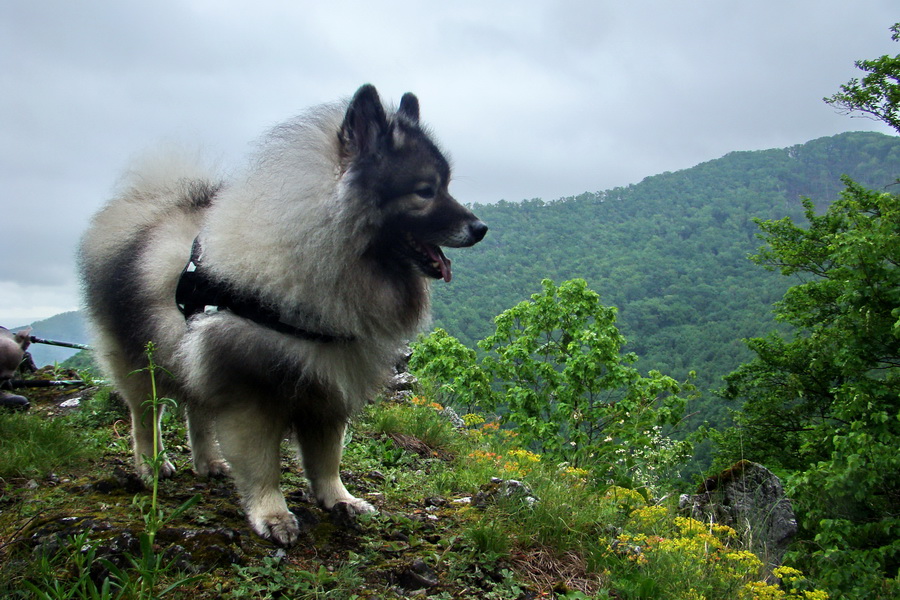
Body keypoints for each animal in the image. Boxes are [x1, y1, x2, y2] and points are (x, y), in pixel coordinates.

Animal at [77, 83, 486, 544]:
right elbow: (262, 466)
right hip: (138, 361)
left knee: (197, 411)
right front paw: (272, 515)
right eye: (425, 190)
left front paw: (339, 500)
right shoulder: (253, 392)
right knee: (145, 416)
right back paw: (151, 466)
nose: (480, 228)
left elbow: (327, 459)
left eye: (445, 186)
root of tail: (152, 202)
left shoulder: (328, 390)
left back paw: (208, 462)